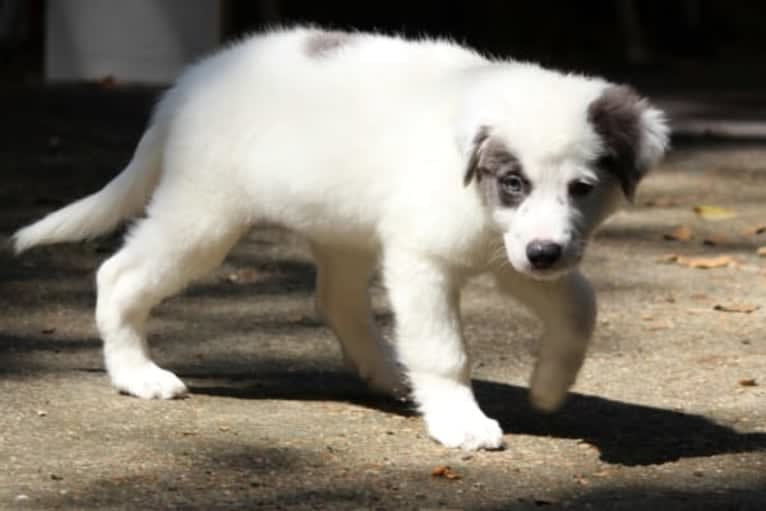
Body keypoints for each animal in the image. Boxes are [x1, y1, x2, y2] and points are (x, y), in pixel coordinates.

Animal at [13, 27, 672, 452]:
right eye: (513, 182)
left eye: (583, 187)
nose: (546, 254)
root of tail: (188, 84)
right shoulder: (426, 259)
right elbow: (444, 350)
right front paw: (460, 422)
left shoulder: (507, 253)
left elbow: (581, 306)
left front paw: (548, 388)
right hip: (203, 215)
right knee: (118, 275)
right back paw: (137, 375)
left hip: (338, 226)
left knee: (335, 299)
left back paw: (388, 372)